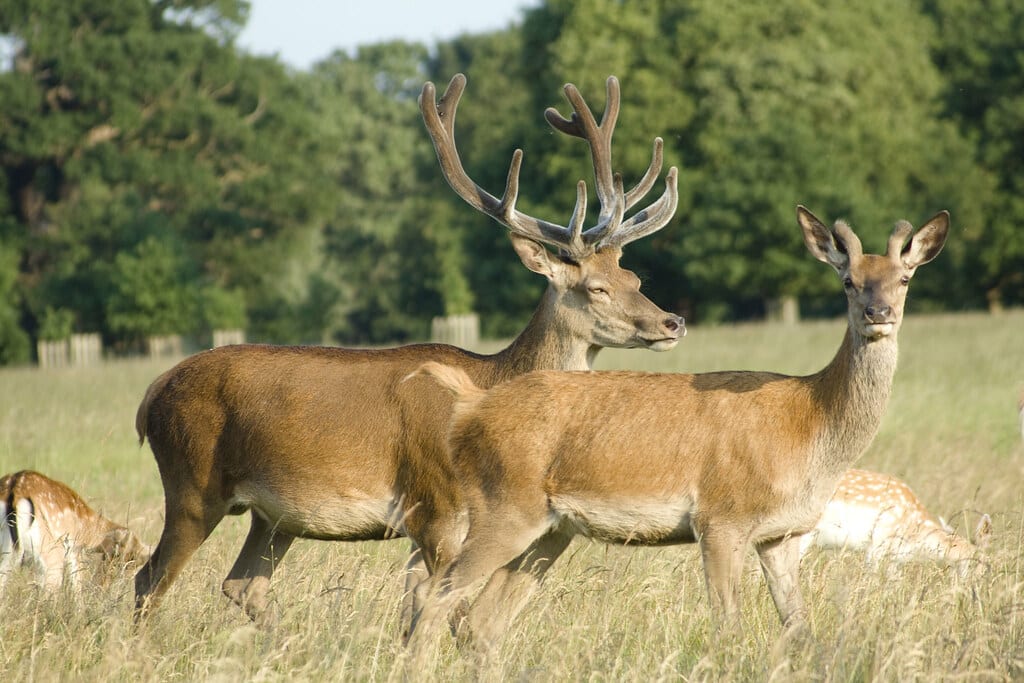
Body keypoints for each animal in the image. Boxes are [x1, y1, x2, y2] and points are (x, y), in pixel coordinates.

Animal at [0, 470, 151, 592]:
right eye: (126, 560)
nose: (104, 586)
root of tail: (15, 493)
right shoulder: (75, 550)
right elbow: (77, 588)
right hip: (51, 558)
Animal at [133, 74, 685, 622]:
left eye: (634, 278)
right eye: (596, 288)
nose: (672, 321)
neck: (492, 383)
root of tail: (151, 395)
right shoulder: (437, 507)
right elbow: (439, 609)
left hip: (275, 516)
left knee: (241, 585)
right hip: (192, 484)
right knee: (149, 578)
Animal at [406, 206, 950, 653]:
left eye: (904, 279)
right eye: (848, 281)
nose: (878, 314)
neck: (807, 426)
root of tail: (472, 407)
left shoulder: (783, 534)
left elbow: (799, 628)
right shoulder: (722, 517)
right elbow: (728, 630)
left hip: (549, 529)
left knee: (481, 620)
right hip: (502, 507)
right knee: (433, 594)